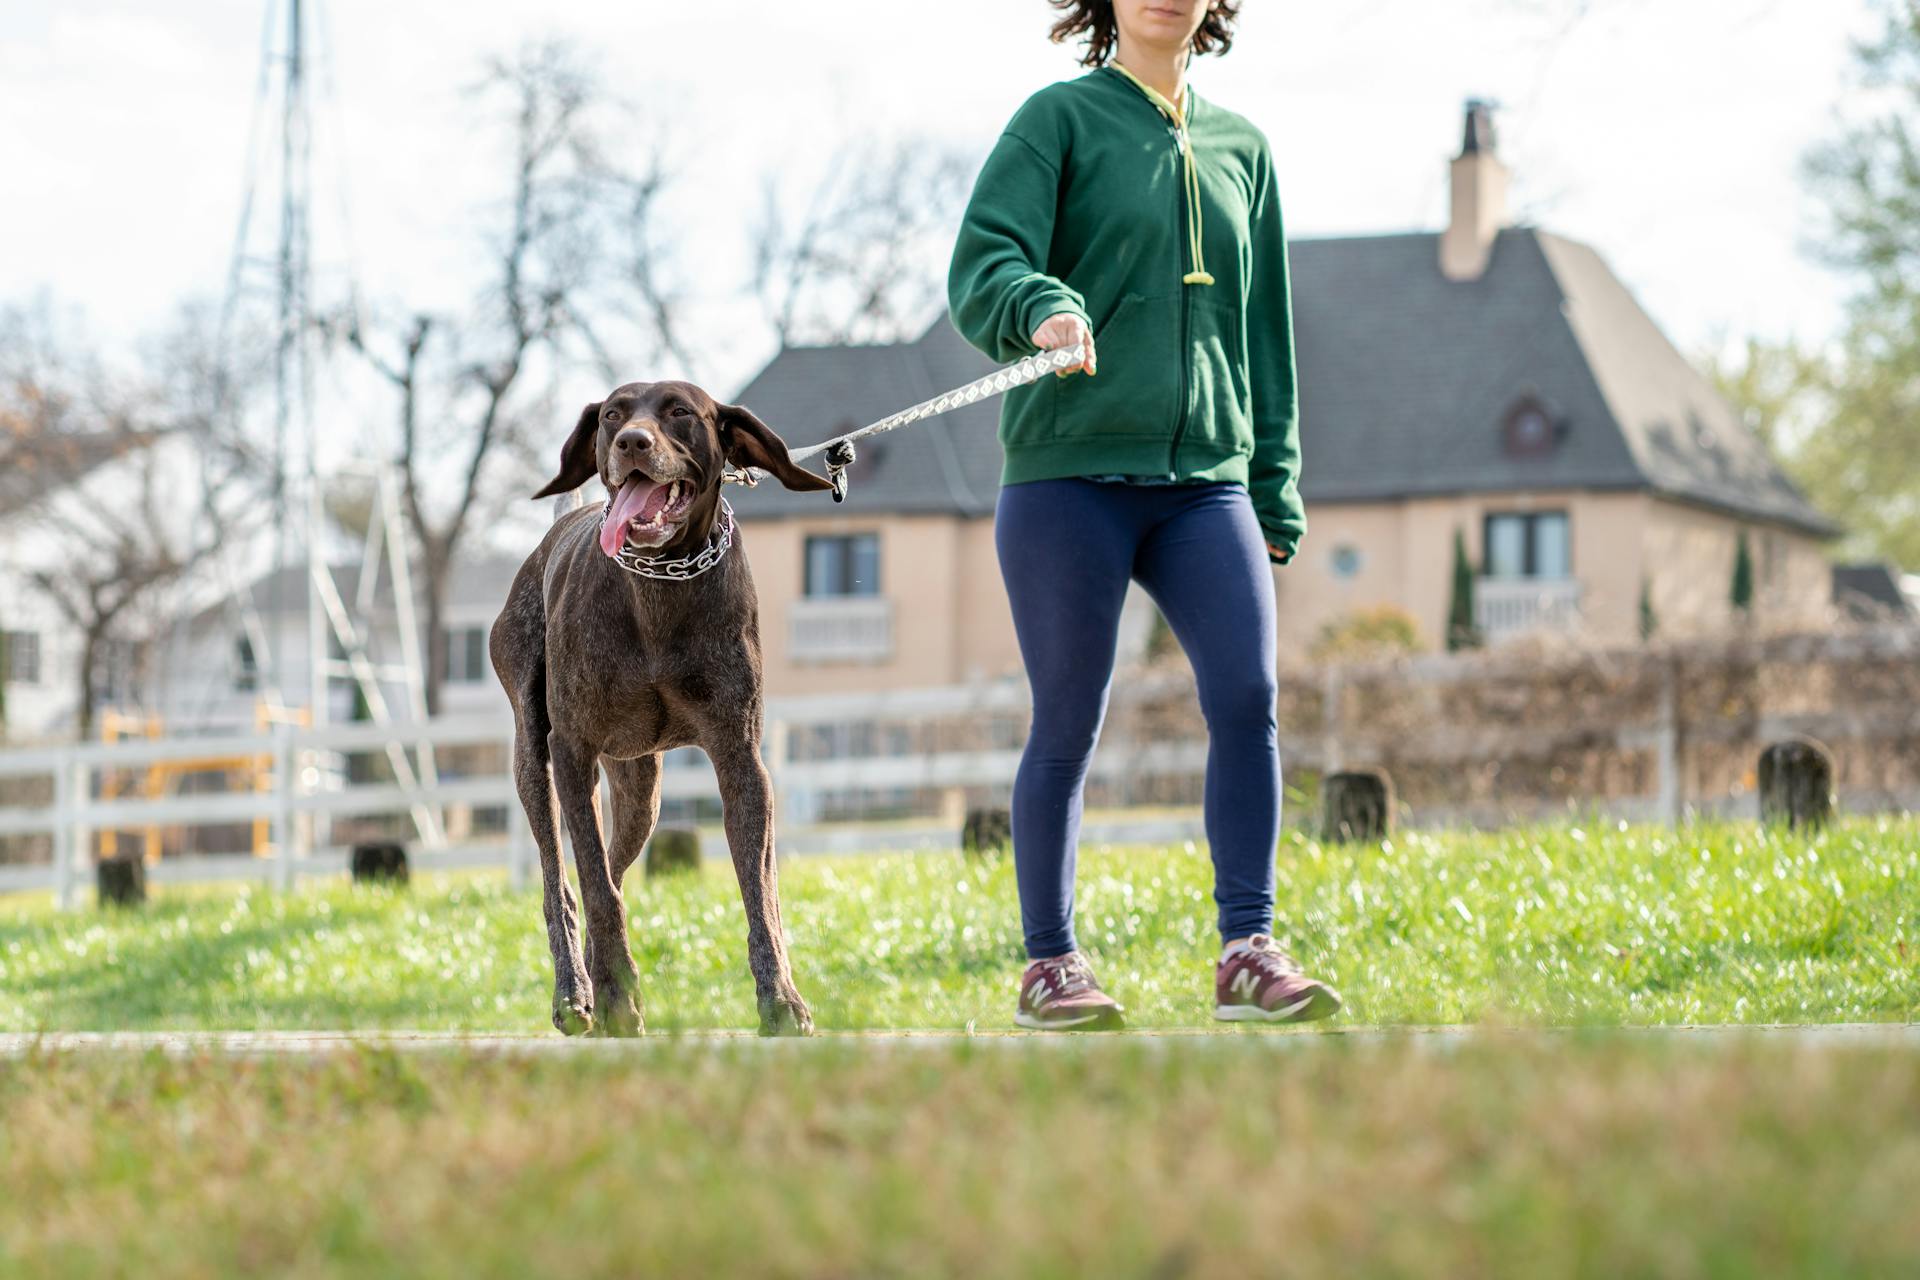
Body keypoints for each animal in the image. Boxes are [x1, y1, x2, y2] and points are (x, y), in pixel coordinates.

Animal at [491, 383, 829, 1043]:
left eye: (680, 411)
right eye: (613, 414)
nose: (631, 443)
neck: (660, 584)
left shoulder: (741, 759)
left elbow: (761, 894)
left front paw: (781, 1000)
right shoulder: (572, 752)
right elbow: (593, 886)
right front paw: (617, 998)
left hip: (640, 790)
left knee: (615, 868)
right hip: (534, 757)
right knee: (562, 880)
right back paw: (575, 992)